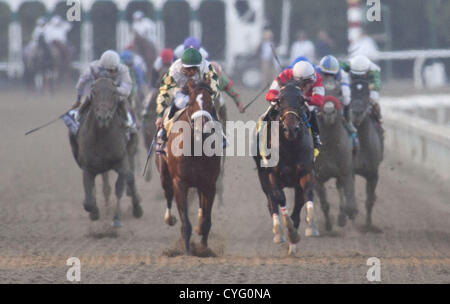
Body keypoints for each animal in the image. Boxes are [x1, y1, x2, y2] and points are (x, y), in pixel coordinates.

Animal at [70, 77, 142, 227]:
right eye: (93, 92)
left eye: (114, 92)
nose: (104, 117)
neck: (101, 137)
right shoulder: (87, 167)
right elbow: (88, 202)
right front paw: (94, 213)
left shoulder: (121, 161)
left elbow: (123, 183)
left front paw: (125, 214)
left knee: (128, 178)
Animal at [156, 78, 222, 254]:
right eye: (191, 102)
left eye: (210, 102)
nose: (202, 127)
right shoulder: (179, 182)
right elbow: (185, 221)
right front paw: (187, 251)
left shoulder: (210, 183)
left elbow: (206, 221)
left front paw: (204, 249)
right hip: (164, 174)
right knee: (167, 194)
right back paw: (169, 218)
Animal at [253, 82, 320, 255]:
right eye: (280, 101)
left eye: (301, 101)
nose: (290, 129)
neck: (290, 146)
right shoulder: (273, 175)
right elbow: (280, 199)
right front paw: (289, 231)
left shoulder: (305, 173)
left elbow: (306, 195)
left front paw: (309, 227)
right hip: (263, 177)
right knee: (272, 202)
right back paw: (278, 232)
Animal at [314, 96, 356, 232]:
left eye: (339, 98)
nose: (329, 111)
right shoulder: (317, 178)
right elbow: (324, 204)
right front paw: (328, 225)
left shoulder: (345, 172)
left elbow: (347, 200)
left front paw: (345, 216)